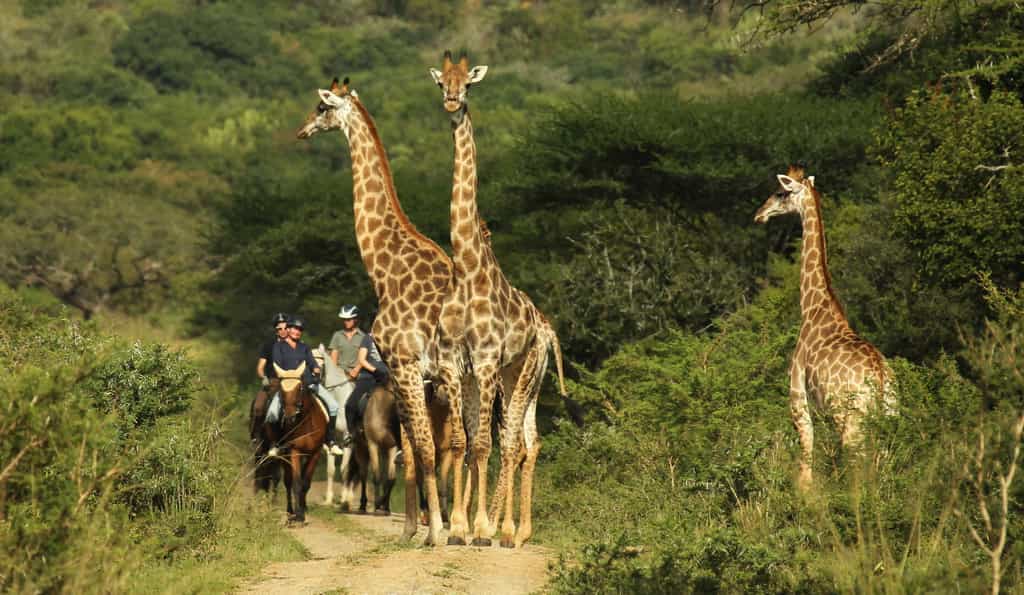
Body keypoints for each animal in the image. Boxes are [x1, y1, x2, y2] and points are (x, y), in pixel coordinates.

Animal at [296, 77, 453, 545]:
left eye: (321, 107)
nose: (302, 130)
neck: (385, 267)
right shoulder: (419, 377)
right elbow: (415, 448)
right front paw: (416, 526)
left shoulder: (404, 365)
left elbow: (417, 447)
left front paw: (425, 531)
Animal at [430, 51, 570, 547]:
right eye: (441, 82)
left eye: (468, 83)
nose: (452, 102)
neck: (467, 267)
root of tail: (545, 326)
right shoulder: (456, 364)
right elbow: (461, 443)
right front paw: (457, 528)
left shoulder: (488, 359)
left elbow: (486, 444)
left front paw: (480, 529)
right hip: (505, 377)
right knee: (518, 440)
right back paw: (509, 528)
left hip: (522, 372)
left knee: (513, 442)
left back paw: (508, 531)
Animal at [754, 165, 896, 489]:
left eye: (780, 192)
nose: (759, 214)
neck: (814, 308)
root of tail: (881, 377)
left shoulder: (798, 397)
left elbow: (806, 460)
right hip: (890, 416)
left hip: (851, 418)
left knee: (857, 465)